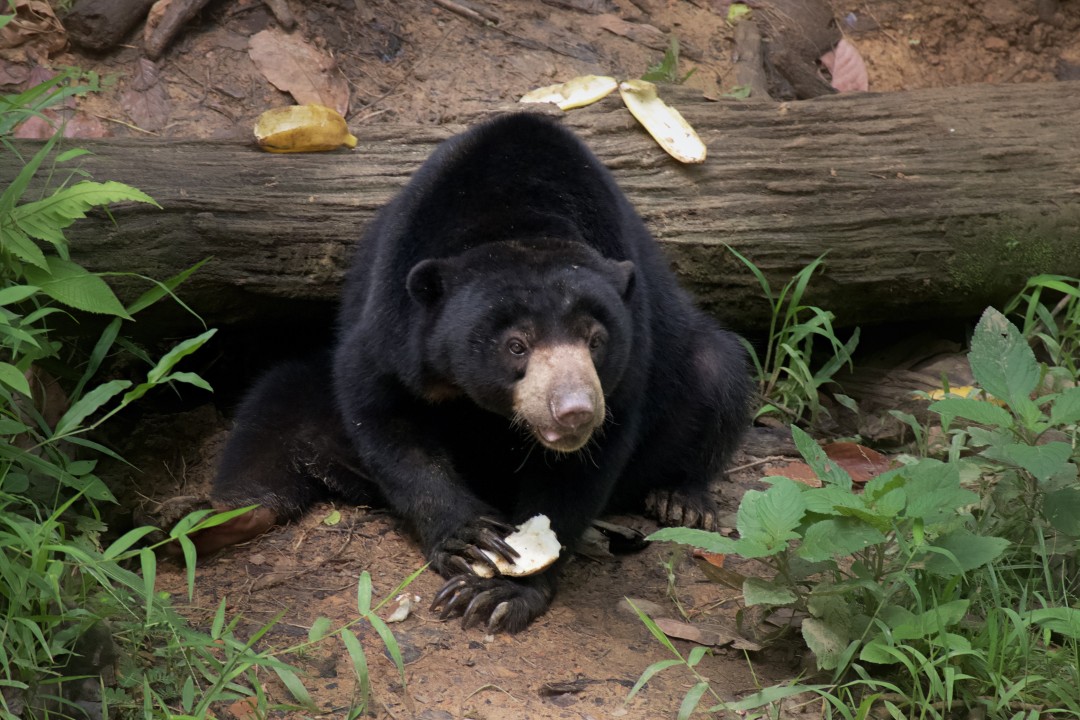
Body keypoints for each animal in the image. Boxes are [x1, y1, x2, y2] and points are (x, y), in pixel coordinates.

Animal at [198, 113, 751, 633]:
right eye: (515, 346)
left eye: (596, 341)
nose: (575, 412)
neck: (520, 226)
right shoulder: (395, 321)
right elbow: (382, 411)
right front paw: (471, 540)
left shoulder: (629, 364)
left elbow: (581, 471)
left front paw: (502, 589)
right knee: (277, 405)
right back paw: (225, 520)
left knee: (717, 370)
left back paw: (681, 500)